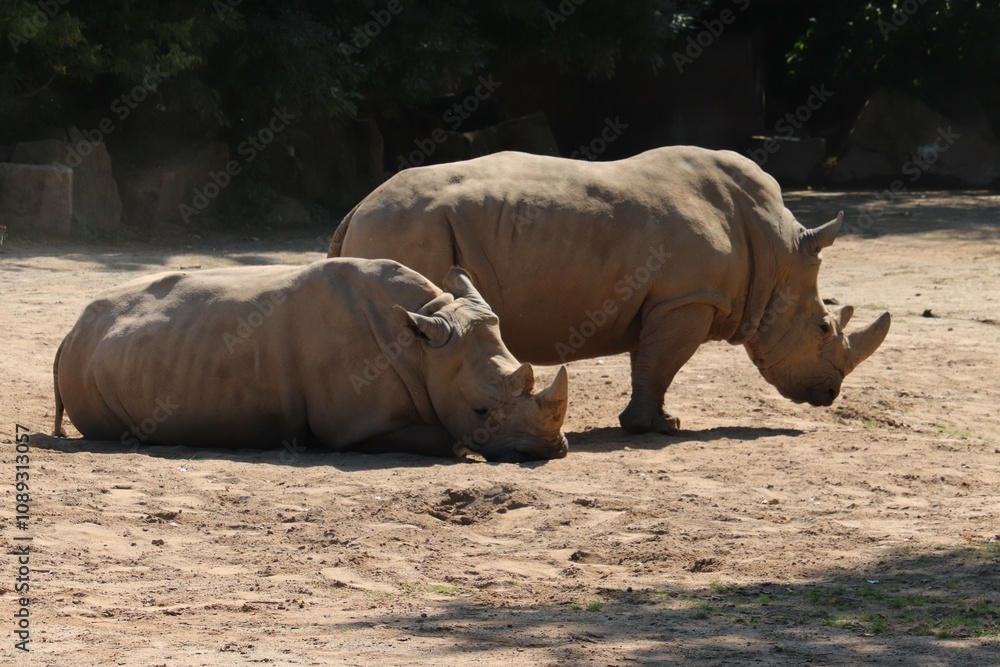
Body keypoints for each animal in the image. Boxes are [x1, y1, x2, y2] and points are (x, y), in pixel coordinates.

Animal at [52, 258, 569, 462]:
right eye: (480, 410)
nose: (546, 452)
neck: (422, 349)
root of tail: (72, 330)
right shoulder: (358, 427)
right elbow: (449, 438)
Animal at [328, 146, 891, 434]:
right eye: (823, 327)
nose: (829, 395)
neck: (778, 254)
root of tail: (356, 207)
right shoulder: (690, 297)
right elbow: (665, 363)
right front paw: (653, 431)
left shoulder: (663, 301)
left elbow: (651, 364)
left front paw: (660, 421)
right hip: (407, 225)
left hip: (398, 223)